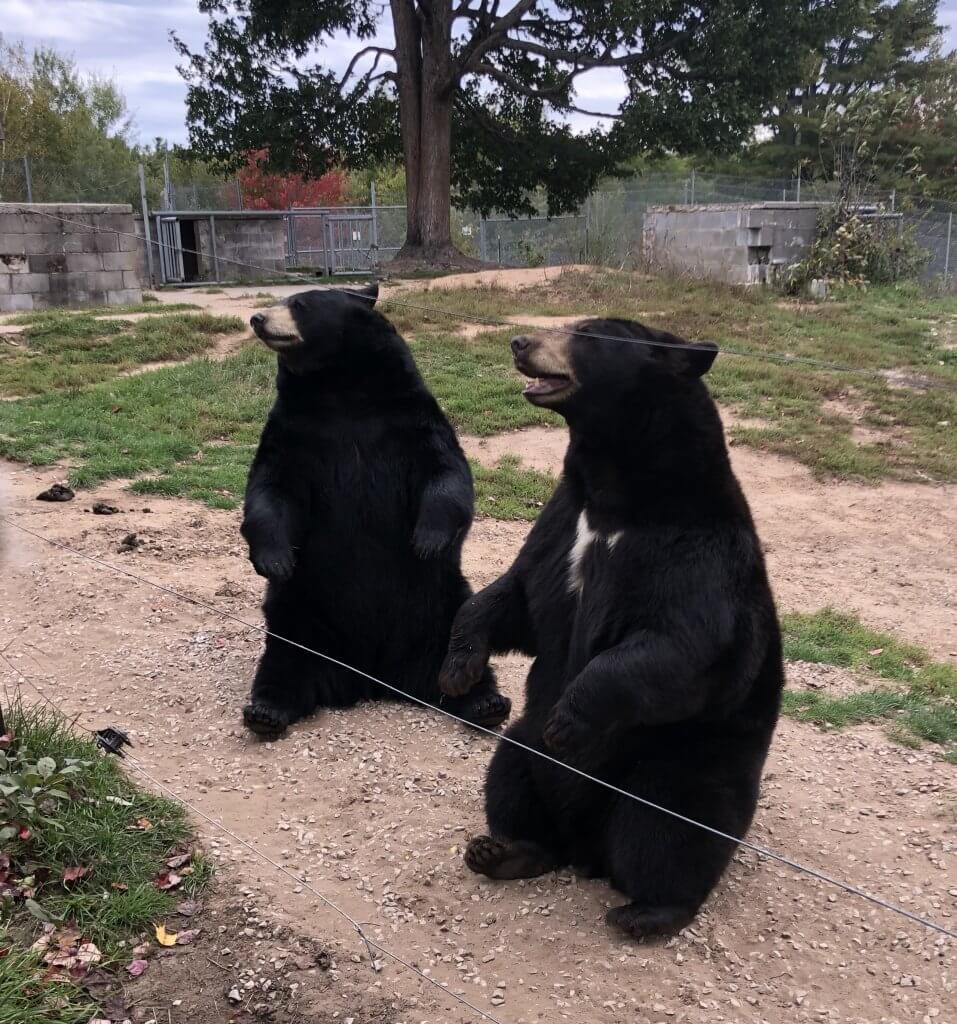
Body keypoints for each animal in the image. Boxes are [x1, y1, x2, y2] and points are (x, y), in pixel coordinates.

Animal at [243, 284, 511, 741]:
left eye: (299, 304)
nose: (258, 318)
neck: (339, 387)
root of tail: (372, 677)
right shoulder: (293, 431)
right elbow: (270, 487)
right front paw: (275, 559)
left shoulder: (410, 418)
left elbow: (446, 471)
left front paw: (427, 541)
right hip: (301, 610)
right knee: (285, 658)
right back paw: (265, 711)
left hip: (441, 603)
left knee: (459, 651)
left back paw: (487, 703)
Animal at [442, 317, 786, 937]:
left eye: (588, 336)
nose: (520, 343)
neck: (616, 496)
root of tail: (588, 855)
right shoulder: (563, 522)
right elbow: (519, 597)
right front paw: (459, 668)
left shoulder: (695, 554)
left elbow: (677, 647)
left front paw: (568, 719)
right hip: (522, 747)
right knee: (510, 779)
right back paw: (505, 851)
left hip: (681, 772)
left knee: (668, 836)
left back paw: (649, 911)